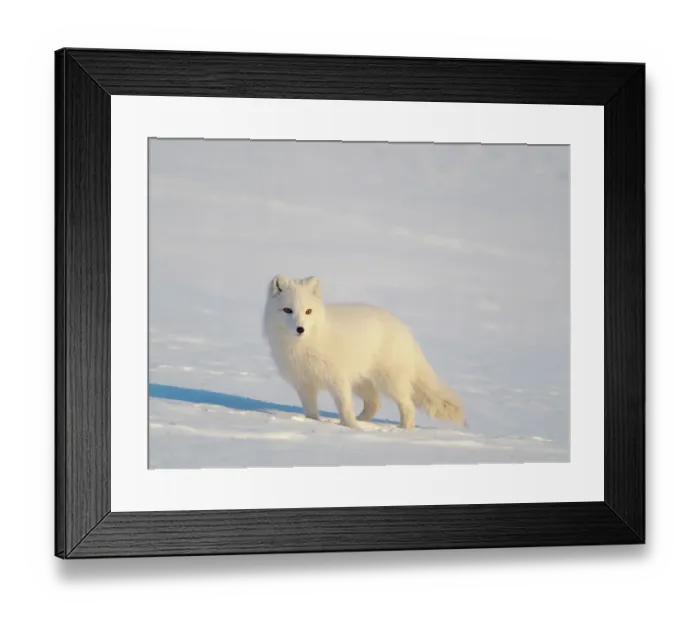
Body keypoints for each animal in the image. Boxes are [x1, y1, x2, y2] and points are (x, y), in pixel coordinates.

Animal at [262, 274, 465, 430]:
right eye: (287, 310)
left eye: (308, 311)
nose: (300, 329)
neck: (305, 345)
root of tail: (403, 328)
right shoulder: (304, 383)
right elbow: (311, 411)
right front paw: (314, 423)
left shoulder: (338, 379)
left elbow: (344, 407)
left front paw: (351, 428)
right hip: (362, 382)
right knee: (375, 403)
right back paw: (365, 423)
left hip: (389, 381)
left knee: (407, 406)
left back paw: (402, 430)